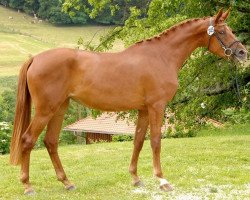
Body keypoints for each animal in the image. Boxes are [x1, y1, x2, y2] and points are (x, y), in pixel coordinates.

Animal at [9, 8, 246, 195]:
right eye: (222, 31)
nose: (243, 52)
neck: (162, 56)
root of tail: (35, 58)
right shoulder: (157, 107)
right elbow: (156, 141)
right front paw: (162, 180)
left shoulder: (143, 109)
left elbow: (138, 141)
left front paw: (135, 178)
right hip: (45, 110)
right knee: (28, 140)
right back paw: (28, 186)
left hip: (59, 108)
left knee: (50, 142)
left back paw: (67, 183)